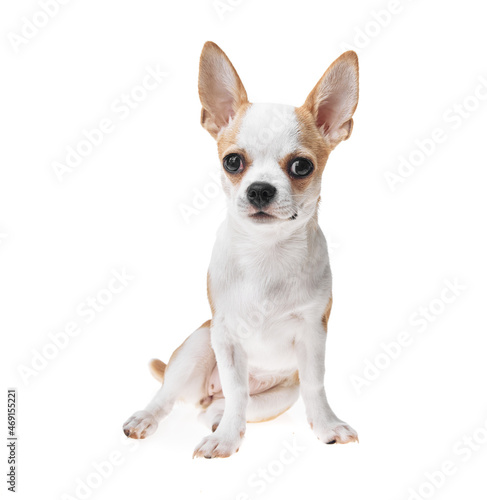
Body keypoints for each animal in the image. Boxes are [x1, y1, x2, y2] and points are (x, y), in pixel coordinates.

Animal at [124, 42, 360, 458]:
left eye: (301, 166)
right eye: (232, 161)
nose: (260, 189)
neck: (267, 253)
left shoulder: (313, 334)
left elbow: (315, 385)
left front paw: (326, 426)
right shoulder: (226, 335)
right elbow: (236, 389)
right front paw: (226, 441)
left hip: (279, 395)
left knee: (223, 407)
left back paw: (218, 420)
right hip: (197, 345)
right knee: (172, 395)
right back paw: (149, 419)